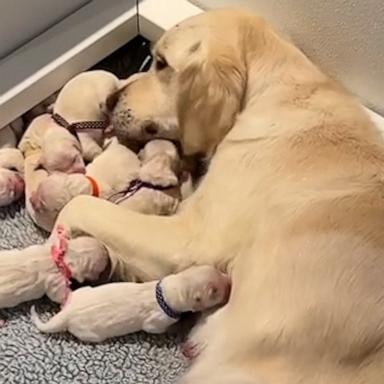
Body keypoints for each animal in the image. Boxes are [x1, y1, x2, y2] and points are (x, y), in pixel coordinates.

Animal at [31, 266, 230, 344]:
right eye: (215, 291)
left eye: (216, 269)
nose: (229, 280)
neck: (167, 291)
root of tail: (67, 314)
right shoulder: (156, 321)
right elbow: (156, 328)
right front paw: (180, 327)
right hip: (88, 333)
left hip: (82, 292)